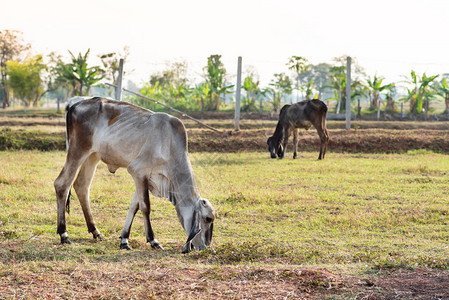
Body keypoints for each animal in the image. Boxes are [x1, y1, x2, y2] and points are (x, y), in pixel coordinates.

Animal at [53, 97, 214, 252]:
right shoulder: (138, 171)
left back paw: (95, 231)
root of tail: (74, 105)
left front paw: (124, 239)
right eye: (208, 219)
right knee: (62, 184)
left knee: (82, 186)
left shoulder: (144, 177)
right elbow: (145, 207)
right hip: (77, 150)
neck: (169, 145)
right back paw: (64, 234)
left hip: (93, 155)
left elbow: (134, 206)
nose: (205, 248)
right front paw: (153, 240)